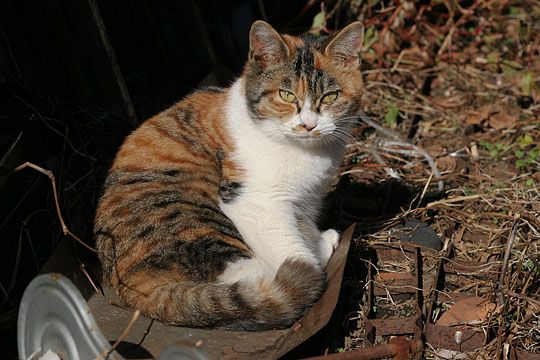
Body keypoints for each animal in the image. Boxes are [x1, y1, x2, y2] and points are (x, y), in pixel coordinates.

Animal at [95, 19, 364, 330]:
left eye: (330, 96)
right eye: (286, 95)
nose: (308, 125)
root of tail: (131, 291)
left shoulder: (307, 198)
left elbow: (302, 223)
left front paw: (316, 238)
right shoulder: (253, 202)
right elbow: (288, 243)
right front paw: (320, 248)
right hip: (195, 219)